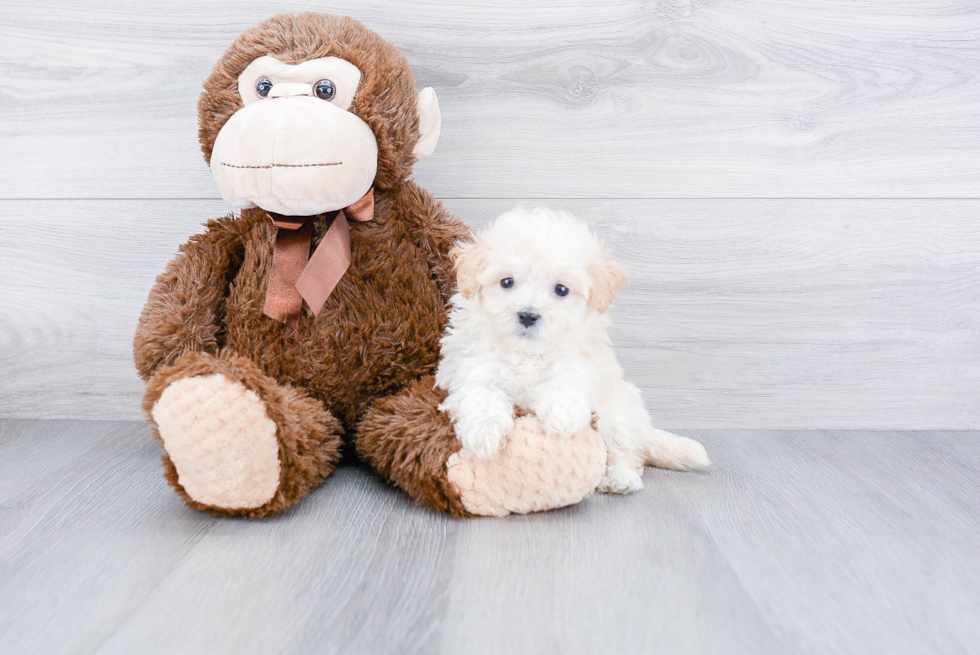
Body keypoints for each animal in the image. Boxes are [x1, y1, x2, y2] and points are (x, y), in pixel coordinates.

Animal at [434, 208, 704, 494]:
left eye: (561, 289)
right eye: (507, 282)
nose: (528, 315)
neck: (527, 353)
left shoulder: (581, 360)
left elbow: (567, 377)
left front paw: (561, 416)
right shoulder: (471, 366)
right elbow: (480, 393)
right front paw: (484, 433)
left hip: (618, 412)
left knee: (625, 452)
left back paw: (620, 478)